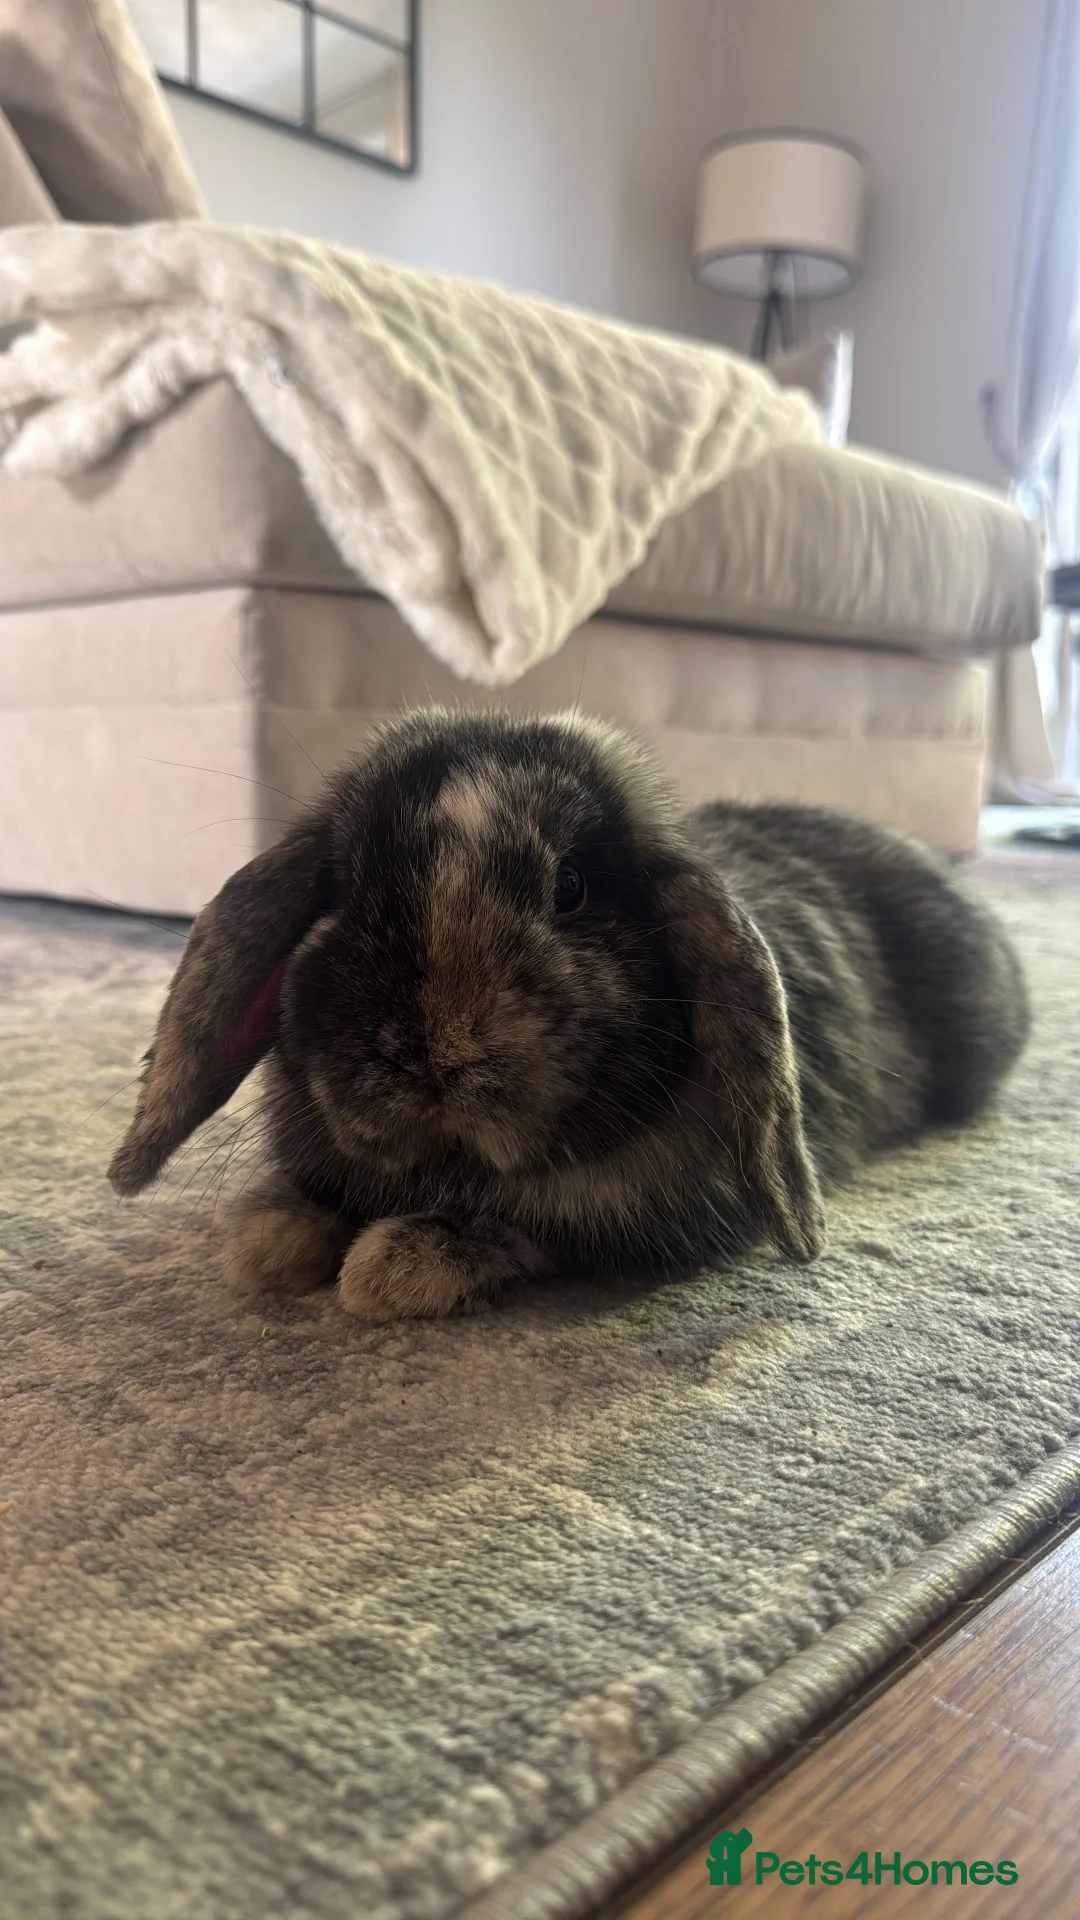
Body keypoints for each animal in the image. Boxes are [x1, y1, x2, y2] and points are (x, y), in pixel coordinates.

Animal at [108, 708, 1030, 1322]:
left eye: (572, 887)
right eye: (344, 890)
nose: (437, 1059)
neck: (452, 1163)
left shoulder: (641, 1221)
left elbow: (530, 1236)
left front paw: (387, 1271)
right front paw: (266, 1244)